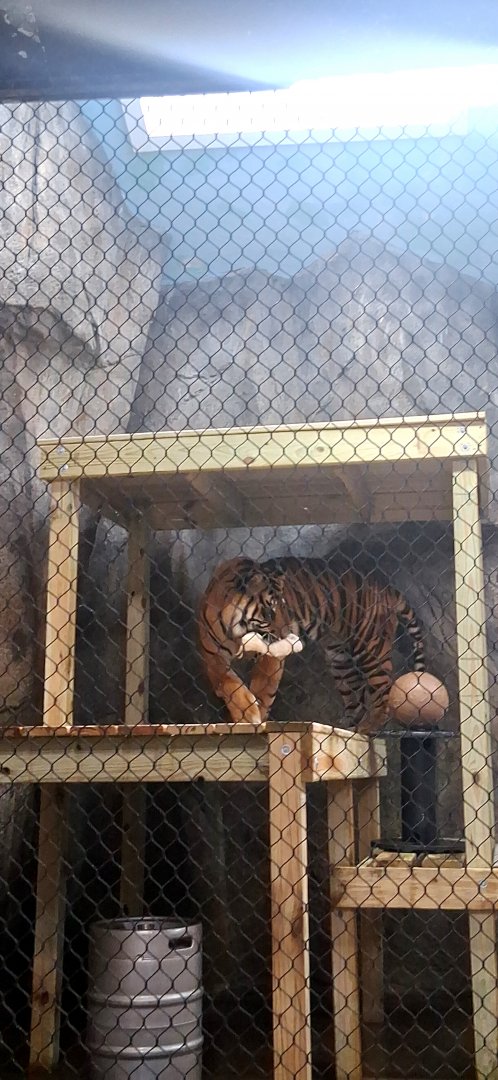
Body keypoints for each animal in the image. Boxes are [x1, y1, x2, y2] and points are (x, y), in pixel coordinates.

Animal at [198, 555, 425, 733]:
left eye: (284, 607)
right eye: (271, 610)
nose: (288, 635)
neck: (236, 630)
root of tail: (385, 587)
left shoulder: (271, 655)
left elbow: (264, 687)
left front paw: (257, 717)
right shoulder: (213, 656)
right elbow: (228, 684)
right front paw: (244, 715)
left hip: (370, 646)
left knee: (384, 690)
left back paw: (368, 727)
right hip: (340, 659)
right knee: (356, 696)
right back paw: (346, 727)